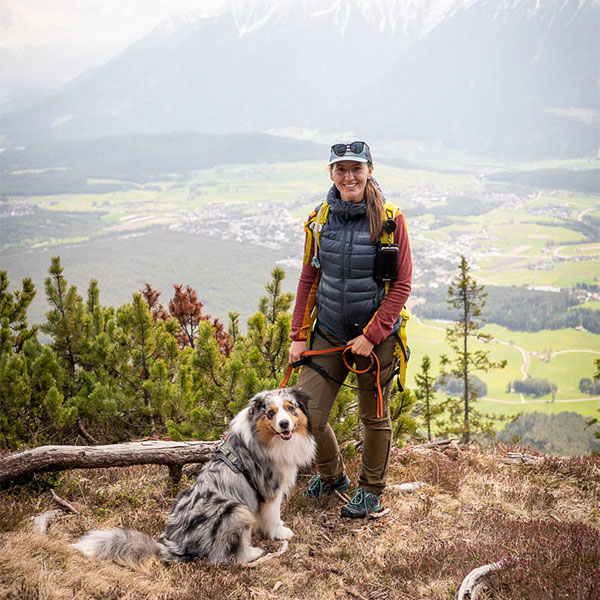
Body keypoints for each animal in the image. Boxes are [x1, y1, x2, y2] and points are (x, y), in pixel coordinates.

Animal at [71, 386, 316, 564]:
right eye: (271, 413)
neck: (265, 438)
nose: (284, 424)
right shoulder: (270, 488)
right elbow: (273, 515)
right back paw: (253, 552)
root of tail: (173, 545)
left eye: (290, 408)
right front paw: (280, 532)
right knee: (223, 557)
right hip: (236, 510)